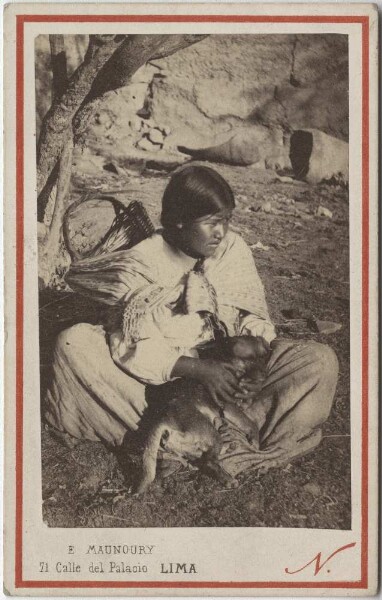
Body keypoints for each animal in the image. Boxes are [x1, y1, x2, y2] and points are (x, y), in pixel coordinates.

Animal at [134, 336, 272, 494]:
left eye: (264, 357)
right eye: (248, 359)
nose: (265, 374)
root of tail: (163, 419)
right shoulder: (229, 407)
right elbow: (251, 424)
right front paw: (255, 442)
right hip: (211, 434)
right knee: (209, 462)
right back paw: (228, 479)